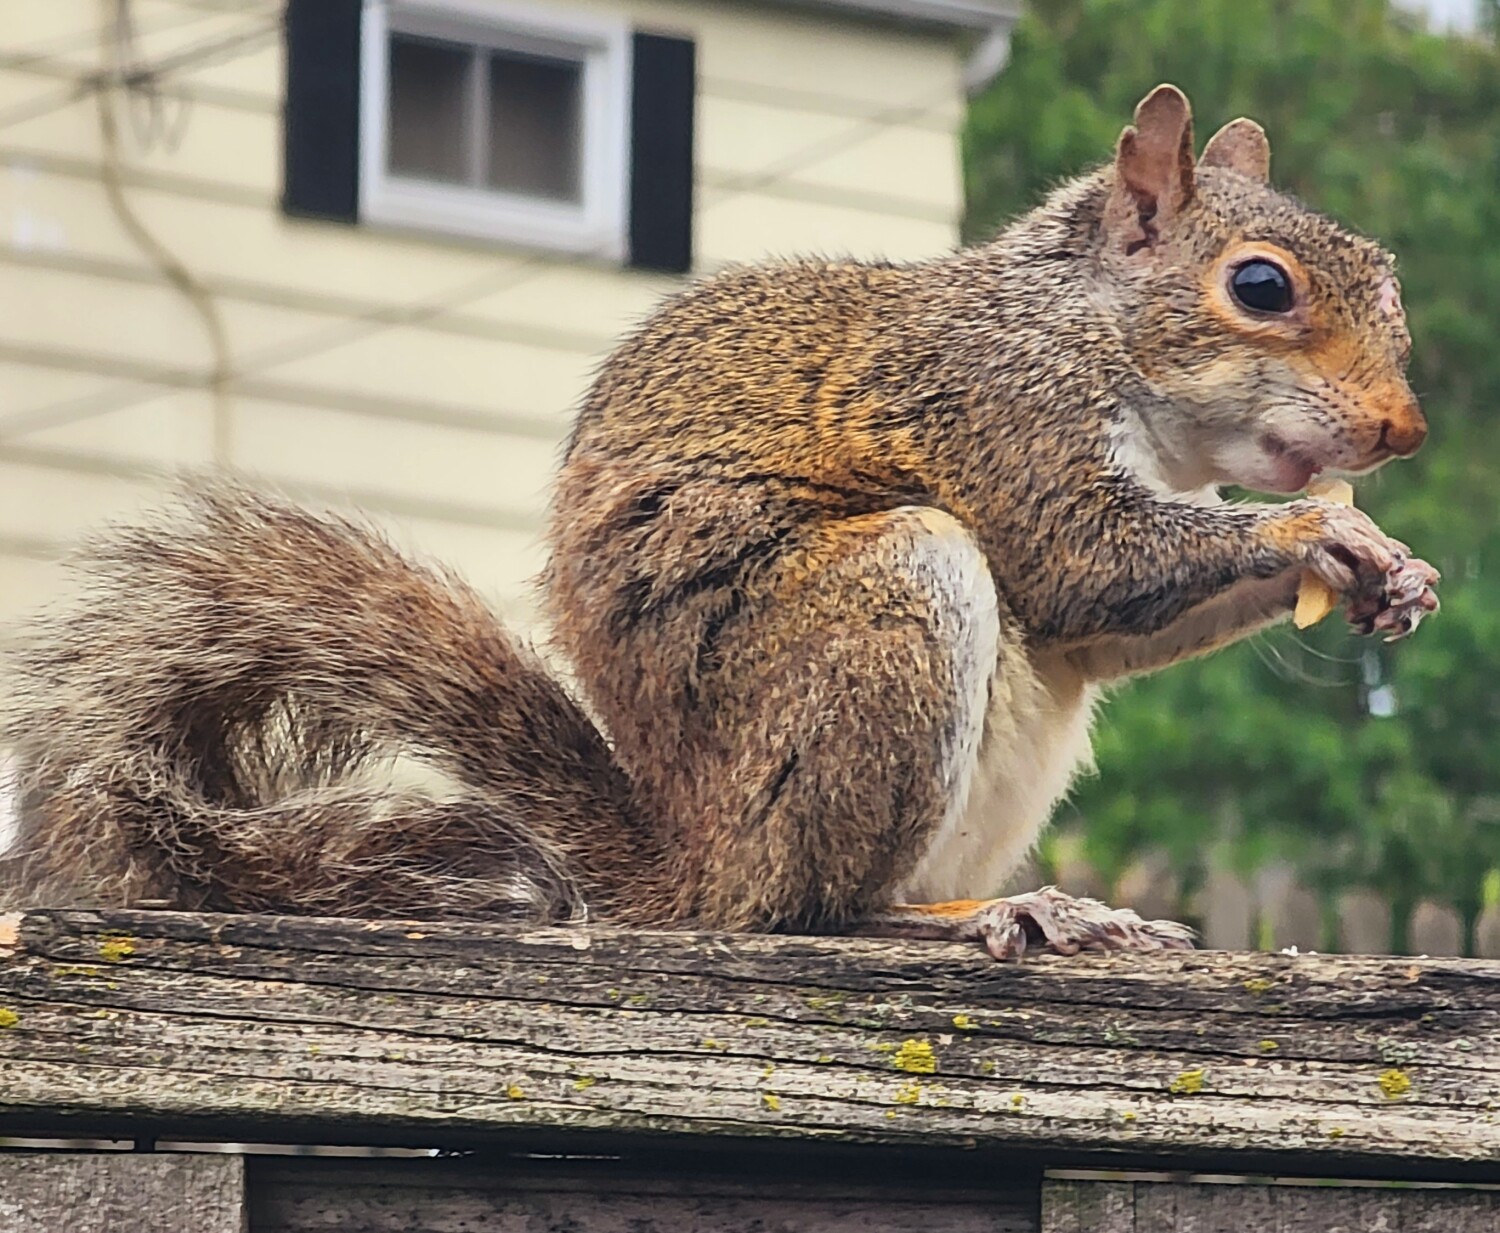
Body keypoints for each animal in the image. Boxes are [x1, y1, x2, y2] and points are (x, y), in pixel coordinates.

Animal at [0, 84, 1439, 959]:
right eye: (1261, 287)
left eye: (1384, 276)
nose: (1402, 433)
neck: (1081, 332)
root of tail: (696, 864)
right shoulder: (994, 415)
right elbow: (1087, 564)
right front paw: (1308, 537)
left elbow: (1114, 632)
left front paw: (1393, 571)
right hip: (890, 609)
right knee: (818, 910)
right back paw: (985, 915)